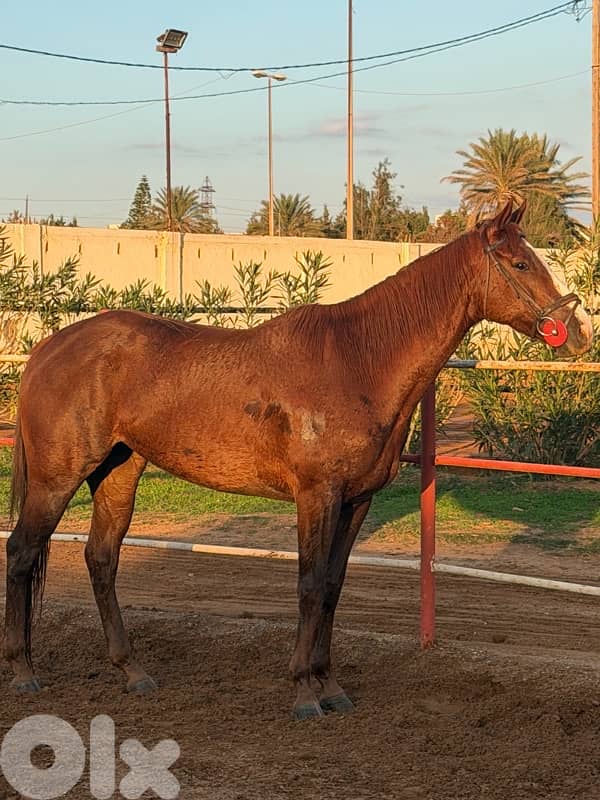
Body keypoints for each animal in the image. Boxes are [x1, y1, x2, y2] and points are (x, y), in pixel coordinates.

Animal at [4, 200, 593, 720]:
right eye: (520, 263)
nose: (579, 332)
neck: (358, 360)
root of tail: (47, 348)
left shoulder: (356, 501)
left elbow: (332, 587)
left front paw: (331, 687)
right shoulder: (316, 496)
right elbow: (309, 586)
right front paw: (304, 692)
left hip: (119, 472)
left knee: (101, 560)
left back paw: (133, 672)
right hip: (57, 479)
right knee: (22, 552)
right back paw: (23, 672)